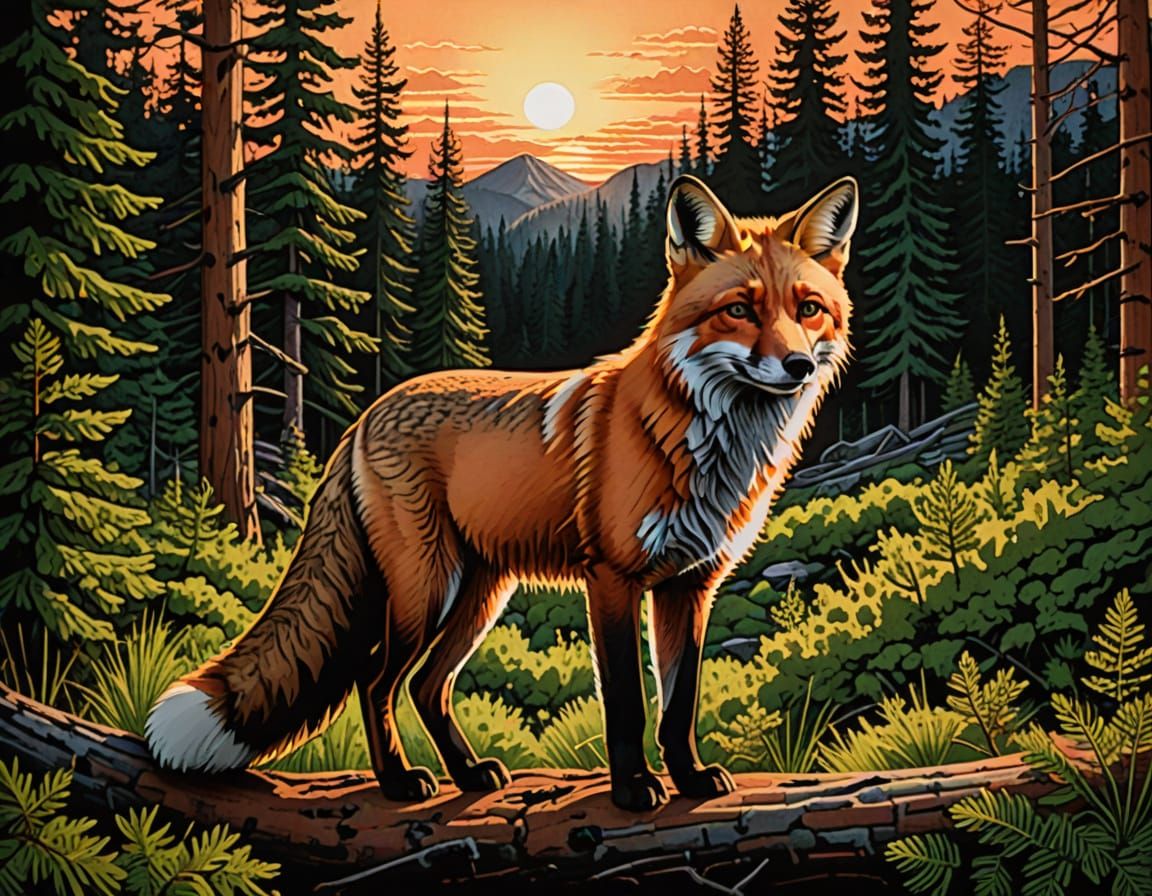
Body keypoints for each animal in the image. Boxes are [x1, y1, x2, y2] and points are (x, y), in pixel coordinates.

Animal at [146, 174, 858, 811]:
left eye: (808, 309)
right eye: (739, 309)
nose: (797, 365)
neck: (704, 444)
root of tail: (367, 415)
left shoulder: (690, 585)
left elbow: (679, 704)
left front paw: (688, 778)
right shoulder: (613, 578)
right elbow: (628, 703)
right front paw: (633, 790)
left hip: (479, 594)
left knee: (428, 687)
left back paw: (467, 775)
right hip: (426, 590)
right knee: (374, 680)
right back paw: (399, 782)